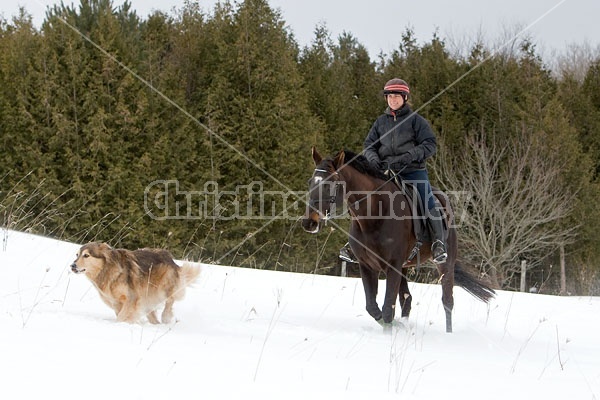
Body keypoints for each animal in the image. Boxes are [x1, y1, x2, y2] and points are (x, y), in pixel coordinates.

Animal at [69, 242, 202, 324]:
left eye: (86, 255)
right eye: (77, 255)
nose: (72, 266)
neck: (107, 269)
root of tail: (169, 257)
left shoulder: (132, 298)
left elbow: (122, 317)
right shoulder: (116, 302)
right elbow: (121, 314)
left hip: (163, 287)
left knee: (170, 300)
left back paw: (166, 317)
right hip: (148, 297)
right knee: (153, 313)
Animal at [302, 148, 494, 332]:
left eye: (330, 184)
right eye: (310, 182)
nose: (309, 222)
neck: (374, 216)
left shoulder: (392, 267)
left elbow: (387, 309)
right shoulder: (367, 266)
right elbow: (373, 307)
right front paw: (395, 327)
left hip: (445, 264)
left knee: (447, 301)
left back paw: (448, 334)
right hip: (404, 267)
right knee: (406, 300)